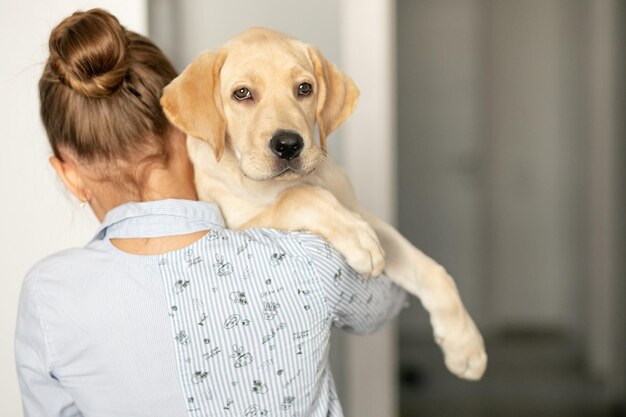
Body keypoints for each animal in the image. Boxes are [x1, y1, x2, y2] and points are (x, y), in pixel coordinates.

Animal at [160, 26, 482, 380]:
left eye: (304, 89)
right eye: (241, 94)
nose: (288, 144)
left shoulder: (361, 211)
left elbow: (428, 267)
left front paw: (464, 343)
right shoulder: (236, 225)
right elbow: (300, 196)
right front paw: (357, 238)